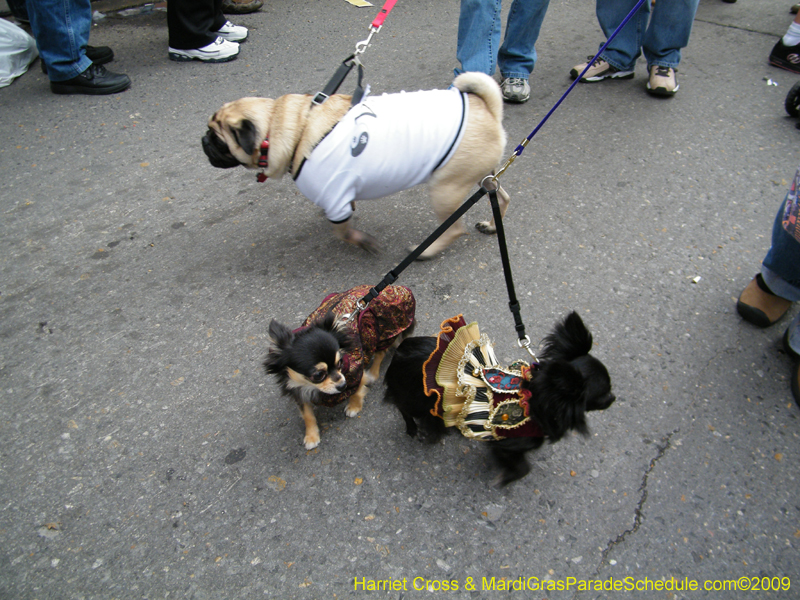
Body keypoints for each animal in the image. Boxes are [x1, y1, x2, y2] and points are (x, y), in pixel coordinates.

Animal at [203, 71, 510, 258]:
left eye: (217, 139)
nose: (204, 141)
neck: (291, 124)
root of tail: (488, 109)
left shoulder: (334, 197)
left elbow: (342, 232)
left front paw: (362, 241)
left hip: (445, 189)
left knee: (455, 229)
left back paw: (426, 252)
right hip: (483, 176)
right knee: (502, 197)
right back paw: (492, 226)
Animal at [384, 312, 616, 486]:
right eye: (603, 393)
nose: (613, 398)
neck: (535, 401)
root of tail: (400, 350)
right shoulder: (506, 444)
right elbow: (522, 467)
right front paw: (505, 478)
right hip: (414, 400)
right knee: (402, 408)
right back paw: (415, 429)